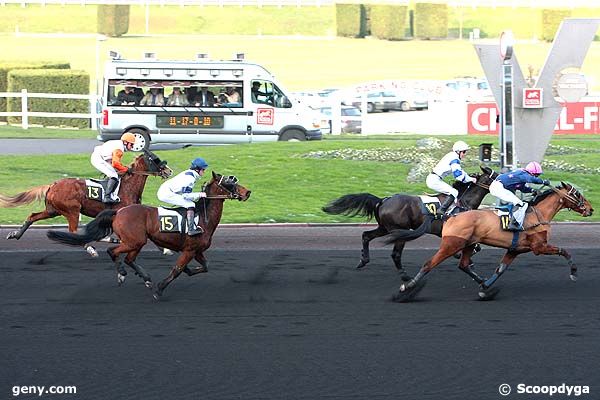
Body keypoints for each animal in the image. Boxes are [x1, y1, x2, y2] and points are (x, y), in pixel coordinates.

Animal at [0, 148, 171, 252]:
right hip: (72, 210)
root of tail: (53, 185)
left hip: (53, 210)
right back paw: (89, 248)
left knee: (32, 216)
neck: (127, 187)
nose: (168, 170)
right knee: (73, 231)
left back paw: (15, 234)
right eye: (155, 159)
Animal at [47, 172, 251, 300]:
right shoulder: (189, 250)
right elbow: (176, 270)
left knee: (129, 259)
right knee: (114, 251)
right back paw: (122, 274)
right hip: (134, 241)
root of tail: (118, 212)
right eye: (229, 182)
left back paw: (143, 277)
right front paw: (159, 289)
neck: (203, 218)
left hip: (137, 242)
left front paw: (188, 270)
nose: (247, 192)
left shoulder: (196, 250)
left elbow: (205, 267)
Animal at [324, 165, 496, 278]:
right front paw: (465, 258)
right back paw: (404, 275)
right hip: (399, 231)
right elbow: (474, 248)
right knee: (395, 254)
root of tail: (383, 200)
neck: (463, 202)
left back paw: (363, 260)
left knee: (366, 235)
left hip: (385, 228)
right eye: (494, 176)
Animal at [390, 183, 596, 302]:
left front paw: (485, 289)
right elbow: (564, 251)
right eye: (577, 194)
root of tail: (450, 216)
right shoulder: (539, 247)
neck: (538, 215)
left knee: (464, 264)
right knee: (428, 264)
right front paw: (574, 272)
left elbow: (500, 269)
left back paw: (483, 284)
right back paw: (407, 288)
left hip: (468, 244)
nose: (591, 209)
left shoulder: (515, 250)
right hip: (452, 244)